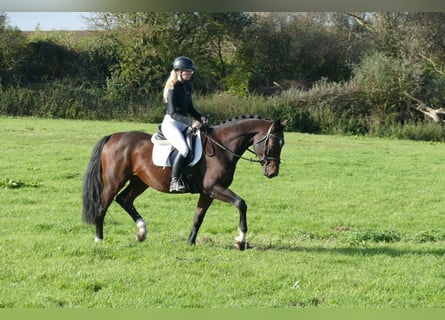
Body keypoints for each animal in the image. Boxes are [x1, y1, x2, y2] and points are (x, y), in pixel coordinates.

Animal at [81, 115, 286, 250]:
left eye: (282, 144)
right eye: (272, 143)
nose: (273, 172)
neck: (222, 147)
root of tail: (113, 136)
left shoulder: (207, 192)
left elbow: (198, 217)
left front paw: (191, 241)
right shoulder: (214, 188)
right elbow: (241, 203)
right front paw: (241, 240)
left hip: (139, 182)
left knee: (124, 200)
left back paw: (141, 231)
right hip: (114, 182)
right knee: (102, 206)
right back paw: (99, 239)